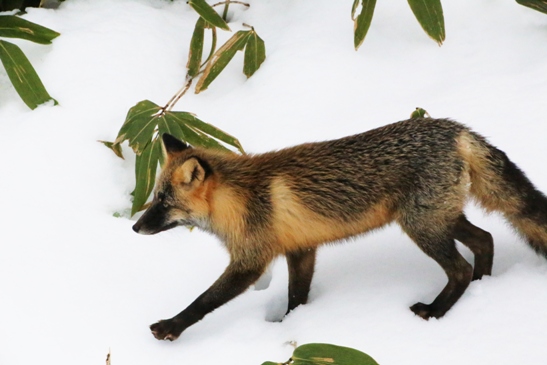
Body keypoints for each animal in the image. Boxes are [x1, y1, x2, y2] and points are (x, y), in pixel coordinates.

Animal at [133, 118, 547, 340]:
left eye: (163, 202)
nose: (135, 227)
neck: (240, 198)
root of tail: (454, 128)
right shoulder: (300, 249)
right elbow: (296, 297)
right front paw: (290, 326)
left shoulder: (250, 261)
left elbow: (204, 301)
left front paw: (171, 327)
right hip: (440, 219)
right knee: (485, 241)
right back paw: (482, 289)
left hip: (423, 227)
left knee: (460, 267)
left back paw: (435, 311)